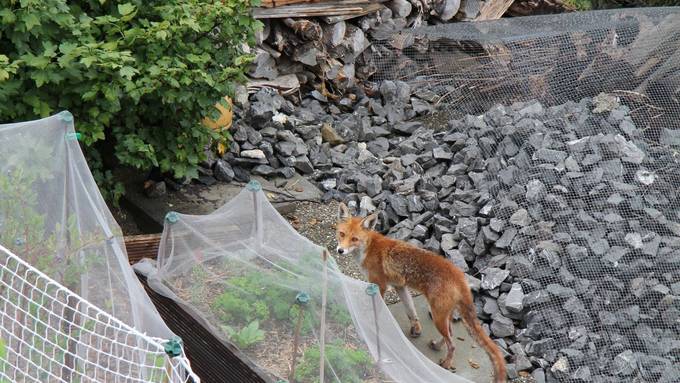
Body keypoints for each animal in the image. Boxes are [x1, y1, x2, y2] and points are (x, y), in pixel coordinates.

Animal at [338, 202, 508, 382]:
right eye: (341, 234)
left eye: (354, 239)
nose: (339, 250)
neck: (369, 248)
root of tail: (460, 276)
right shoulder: (400, 286)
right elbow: (411, 311)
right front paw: (416, 329)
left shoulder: (380, 285)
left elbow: (377, 308)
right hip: (444, 315)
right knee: (450, 334)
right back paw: (436, 346)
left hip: (438, 315)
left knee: (452, 344)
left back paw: (446, 364)